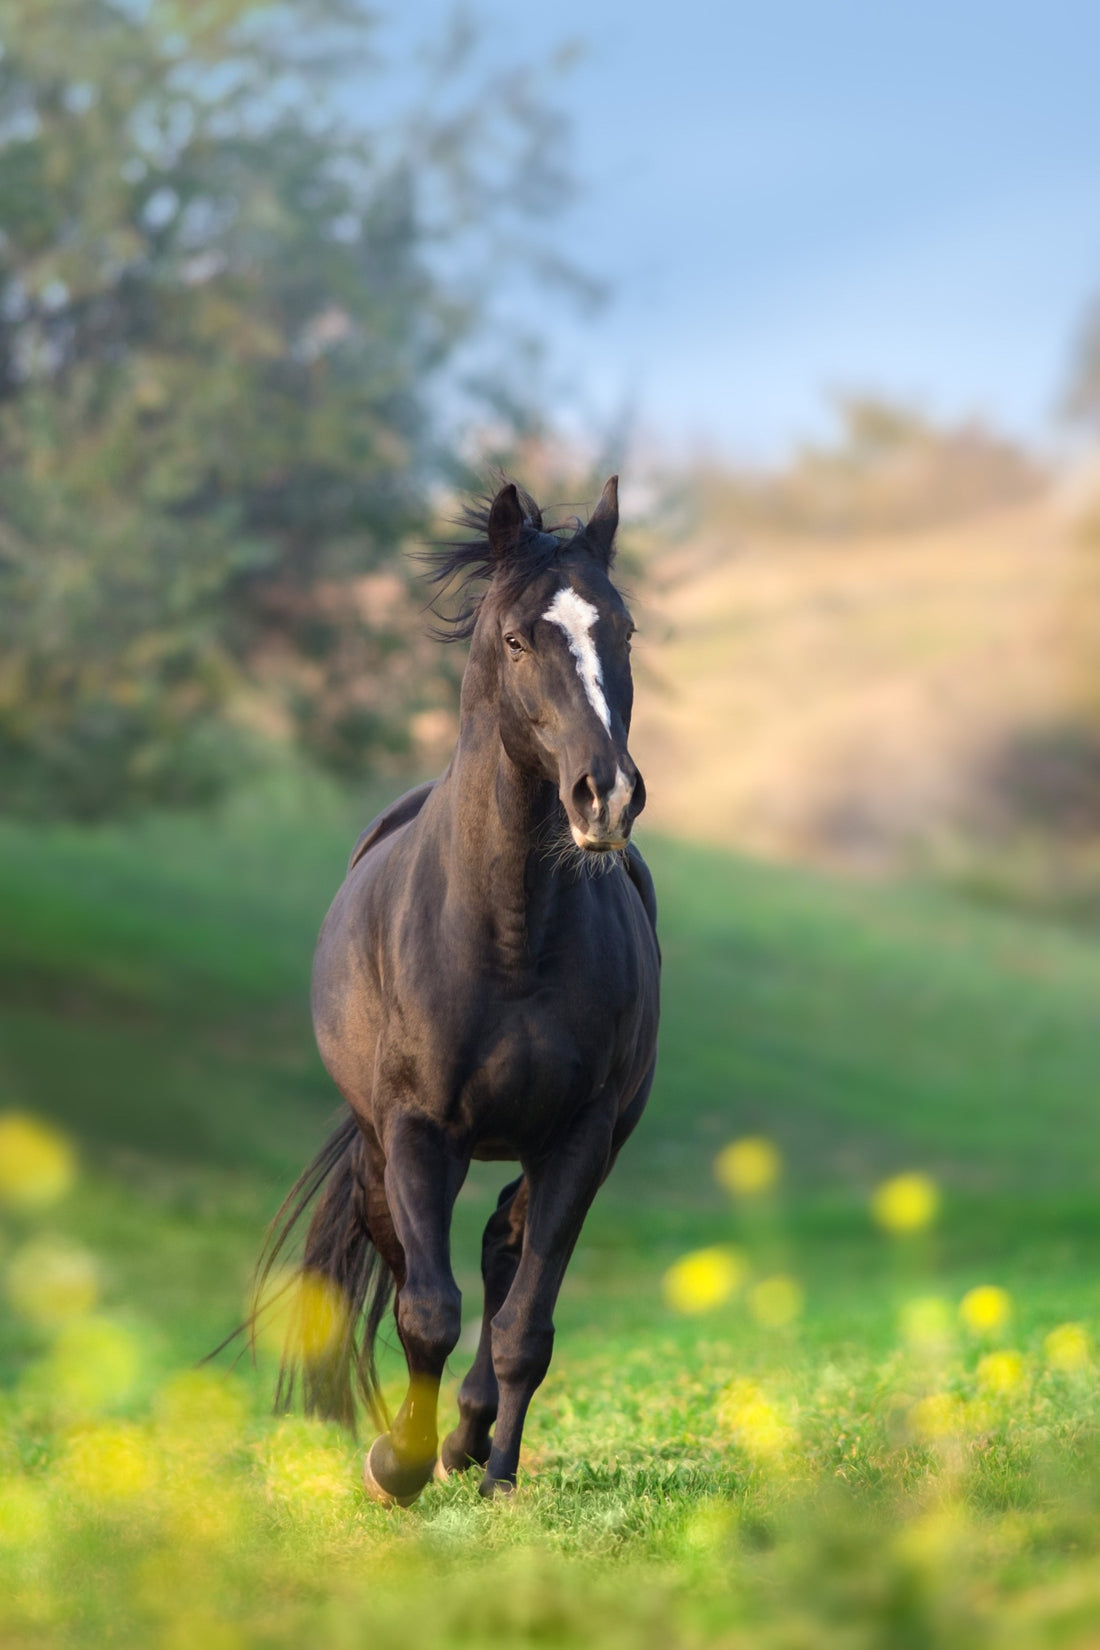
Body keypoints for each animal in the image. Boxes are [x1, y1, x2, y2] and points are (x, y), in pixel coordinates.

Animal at [256, 476, 660, 1505]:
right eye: (517, 639)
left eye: (624, 630)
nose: (607, 795)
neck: (511, 938)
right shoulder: (416, 1130)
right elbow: (428, 1310)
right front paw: (395, 1463)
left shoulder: (579, 1139)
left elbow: (524, 1327)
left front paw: (495, 1475)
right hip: (382, 1156)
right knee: (418, 1267)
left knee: (503, 1250)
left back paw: (471, 1437)